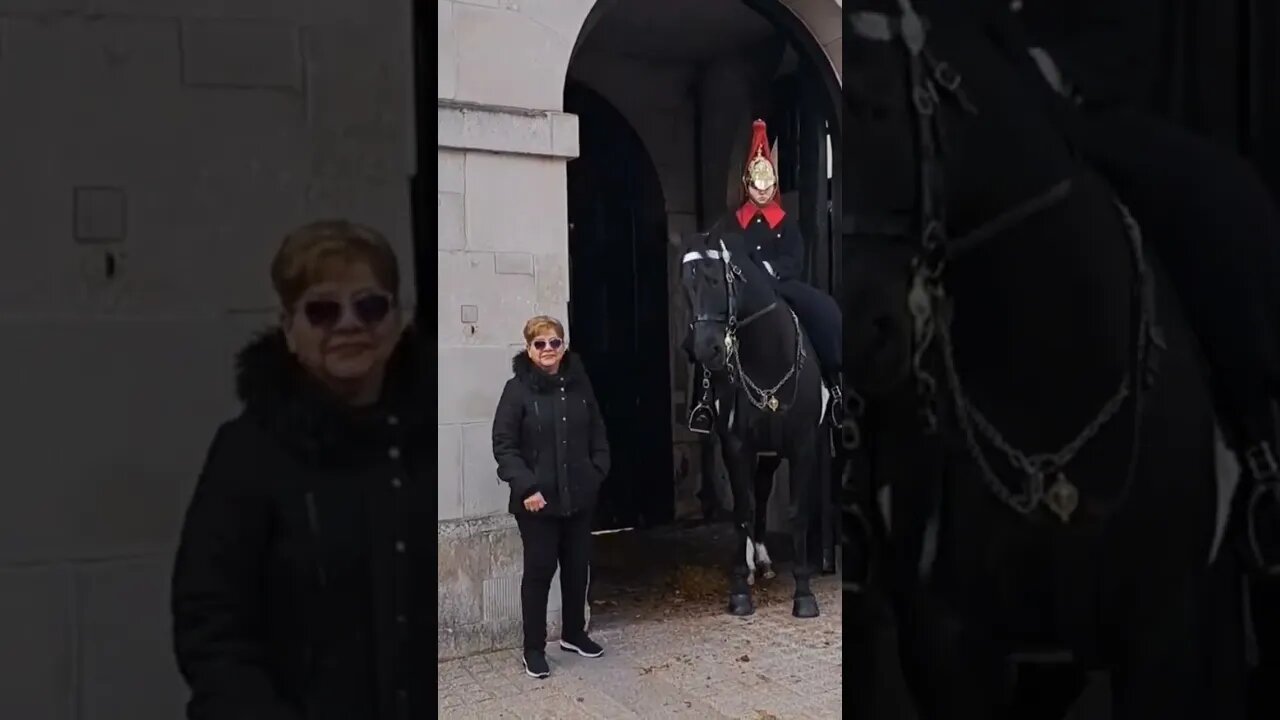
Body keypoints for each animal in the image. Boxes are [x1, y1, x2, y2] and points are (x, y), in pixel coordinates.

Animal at [686, 226, 824, 614]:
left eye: (714, 278)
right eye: (686, 286)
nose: (705, 350)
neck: (768, 357)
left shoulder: (803, 446)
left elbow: (797, 512)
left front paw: (804, 593)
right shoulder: (737, 445)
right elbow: (742, 512)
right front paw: (739, 591)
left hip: (772, 450)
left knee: (761, 490)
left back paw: (761, 560)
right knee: (750, 496)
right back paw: (750, 564)